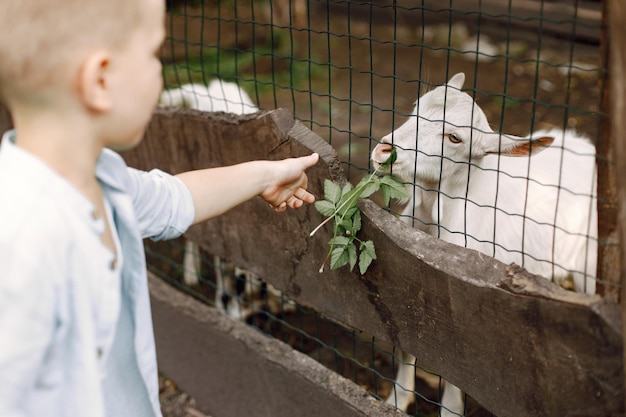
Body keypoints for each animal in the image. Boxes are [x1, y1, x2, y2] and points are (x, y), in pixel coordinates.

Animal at [370, 73, 596, 414]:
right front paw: (397, 400)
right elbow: (408, 341)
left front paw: (450, 409)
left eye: (454, 138)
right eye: (416, 108)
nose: (384, 150)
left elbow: (459, 365)